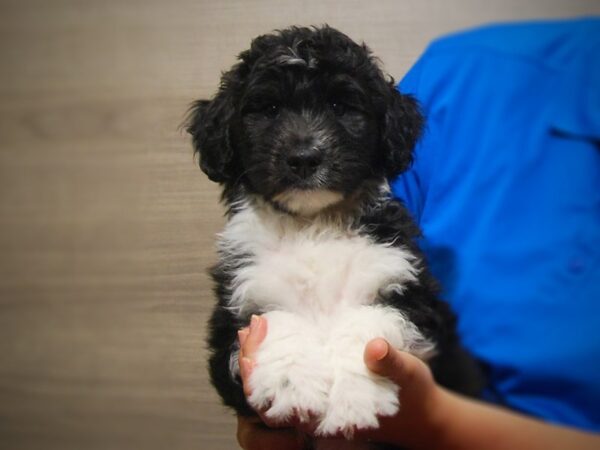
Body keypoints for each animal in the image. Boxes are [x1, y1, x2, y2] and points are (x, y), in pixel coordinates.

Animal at [188, 25, 482, 446]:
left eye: (340, 106)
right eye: (269, 109)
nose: (304, 158)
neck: (314, 223)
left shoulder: (408, 291)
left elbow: (367, 325)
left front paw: (356, 397)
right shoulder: (237, 311)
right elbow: (277, 324)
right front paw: (292, 385)